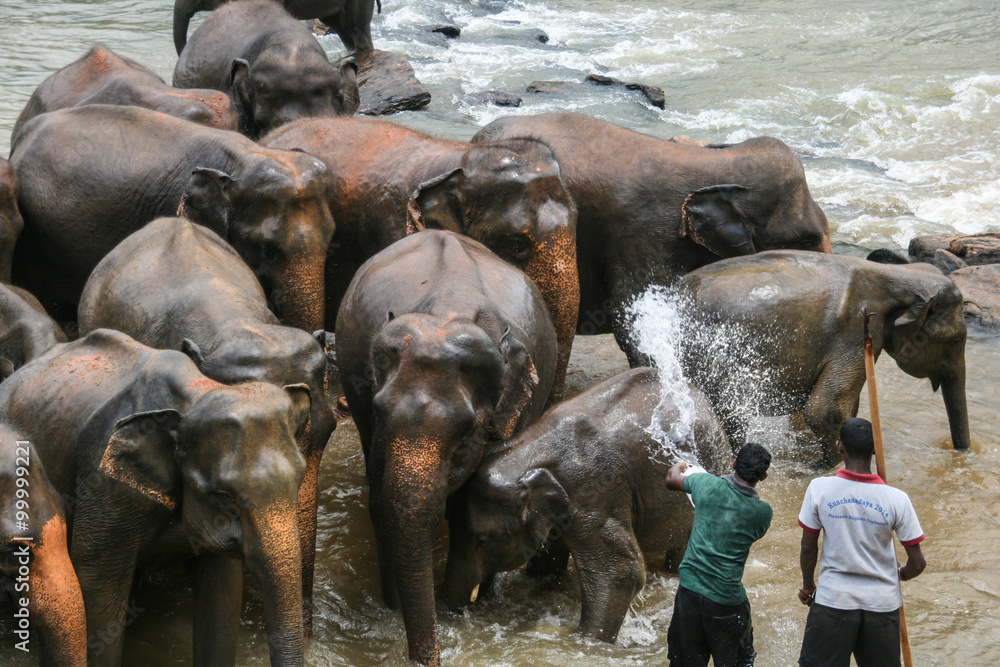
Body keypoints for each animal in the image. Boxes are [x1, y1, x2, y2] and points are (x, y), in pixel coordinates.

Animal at [336, 230, 558, 666]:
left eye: (468, 430)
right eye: (379, 411)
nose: (422, 658)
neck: (447, 313)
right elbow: (384, 505)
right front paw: (393, 609)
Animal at [442, 367, 732, 643]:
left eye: (481, 540)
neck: (529, 449)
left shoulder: (595, 492)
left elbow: (621, 573)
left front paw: (585, 644)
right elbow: (549, 561)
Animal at [676, 250, 971, 464]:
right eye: (957, 340)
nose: (962, 452)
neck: (897, 275)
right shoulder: (856, 331)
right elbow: (826, 409)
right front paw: (827, 467)